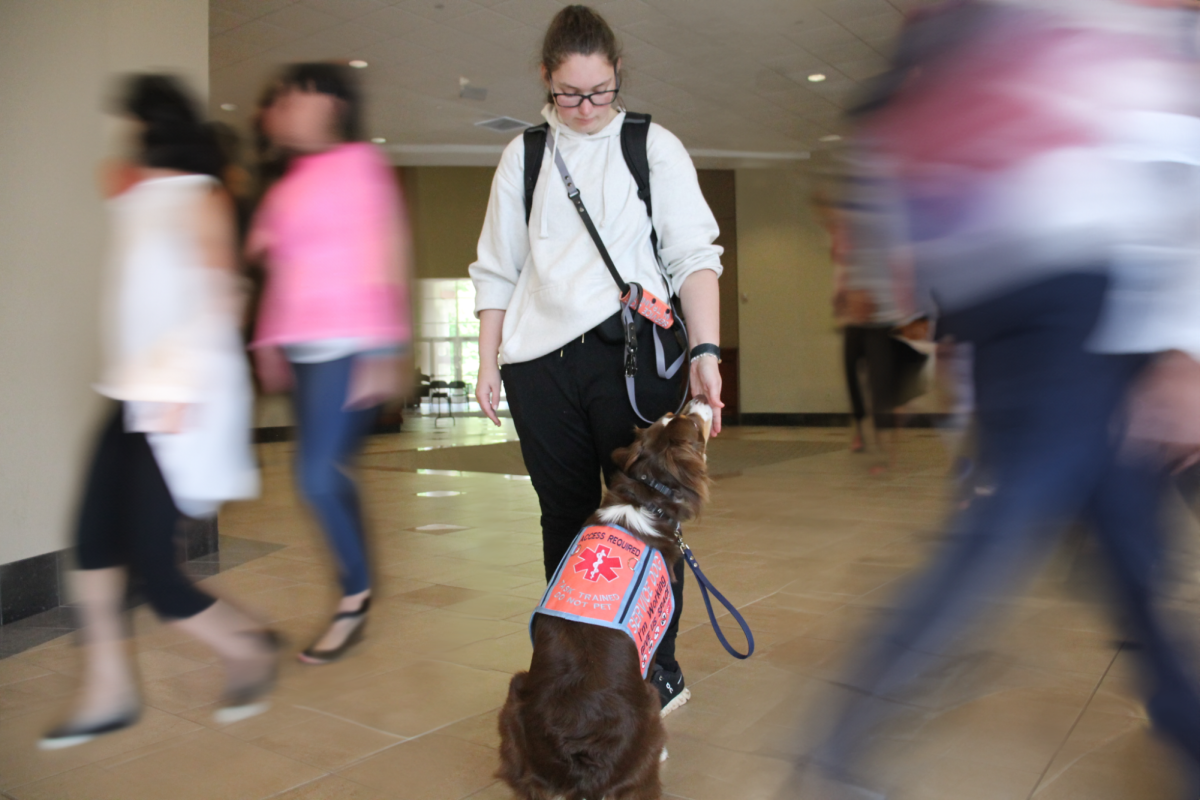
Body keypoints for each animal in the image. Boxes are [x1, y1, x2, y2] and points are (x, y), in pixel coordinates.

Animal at [496, 398, 710, 800]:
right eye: (690, 422)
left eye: (675, 415)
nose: (699, 398)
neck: (647, 495)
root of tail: (578, 765)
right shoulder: (650, 641)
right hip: (646, 706)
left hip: (515, 695)